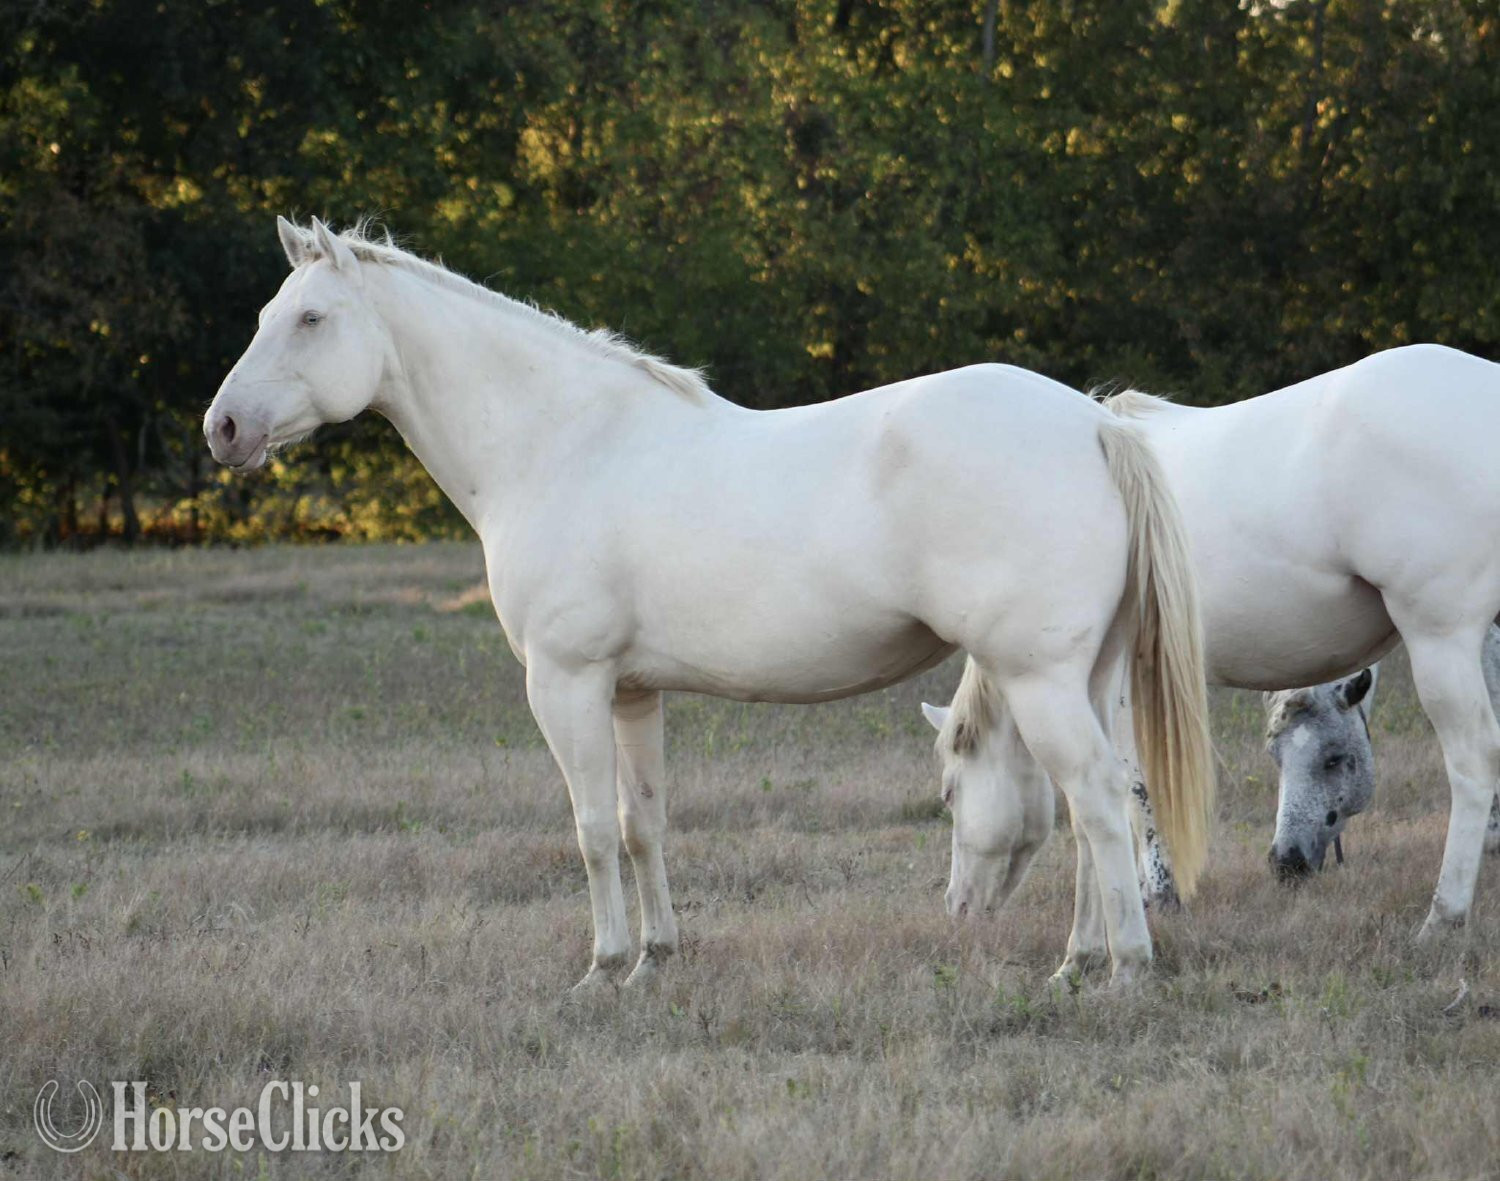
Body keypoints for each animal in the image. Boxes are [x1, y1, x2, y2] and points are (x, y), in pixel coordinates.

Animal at [202, 218, 1214, 989]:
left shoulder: (565, 685)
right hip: (1085, 677)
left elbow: (590, 829)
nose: (223, 427)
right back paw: (1080, 960)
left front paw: (603, 967)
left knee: (1096, 798)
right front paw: (656, 957)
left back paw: (1122, 970)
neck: (560, 442)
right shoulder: (630, 692)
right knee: (1092, 806)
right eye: (266, 315)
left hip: (1037, 678)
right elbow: (641, 823)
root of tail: (1094, 423)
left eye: (311, 318)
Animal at [924, 344, 1500, 971]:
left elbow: (1137, 789)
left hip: (1442, 637)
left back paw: (1444, 917)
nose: (958, 908)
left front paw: (1156, 894)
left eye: (950, 793)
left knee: (1473, 761)